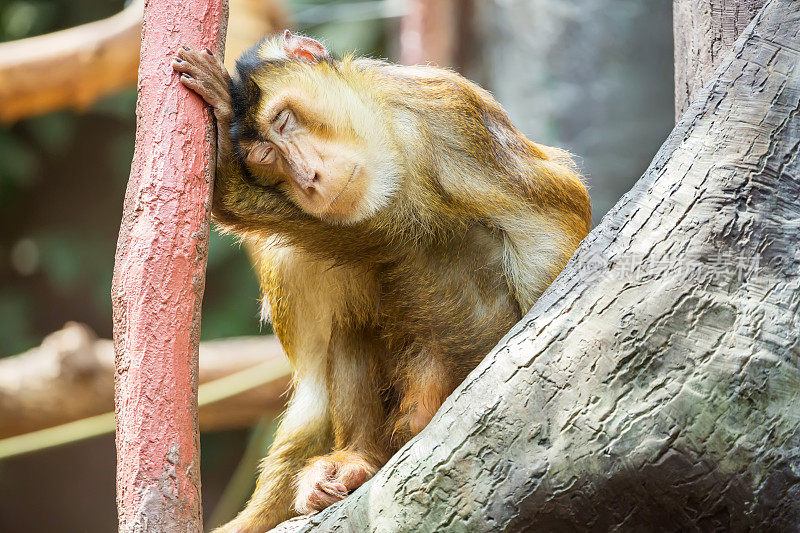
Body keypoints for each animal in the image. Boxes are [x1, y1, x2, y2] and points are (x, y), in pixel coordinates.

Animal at [172, 30, 592, 532]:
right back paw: (358, 461)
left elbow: (547, 231)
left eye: (285, 121)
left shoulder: (448, 114)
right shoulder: (288, 264)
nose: (309, 178)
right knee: (353, 322)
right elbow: (313, 396)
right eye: (267, 160)